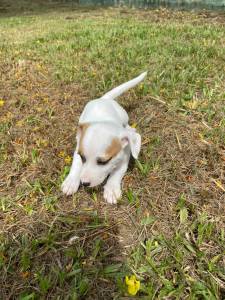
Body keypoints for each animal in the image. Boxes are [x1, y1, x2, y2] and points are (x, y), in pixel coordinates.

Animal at [60, 72, 147, 204]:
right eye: (83, 157)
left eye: (103, 162)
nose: (84, 183)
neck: (105, 120)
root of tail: (104, 99)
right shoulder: (78, 150)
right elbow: (76, 164)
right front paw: (71, 181)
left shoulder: (124, 159)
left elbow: (116, 173)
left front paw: (111, 189)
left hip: (124, 115)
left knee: (127, 126)